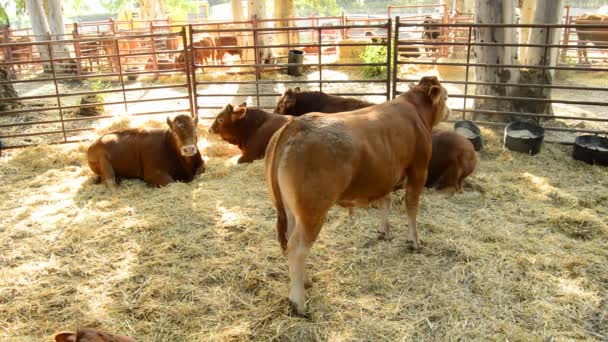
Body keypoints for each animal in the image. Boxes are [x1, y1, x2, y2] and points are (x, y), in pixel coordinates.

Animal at [266, 75, 452, 316]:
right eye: (446, 97)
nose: (450, 111)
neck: (414, 110)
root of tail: (296, 124)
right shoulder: (418, 170)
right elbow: (411, 207)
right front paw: (414, 241)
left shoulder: (385, 174)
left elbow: (386, 201)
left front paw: (384, 231)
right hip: (313, 211)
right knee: (298, 248)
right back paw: (299, 303)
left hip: (291, 209)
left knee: (290, 241)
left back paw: (305, 281)